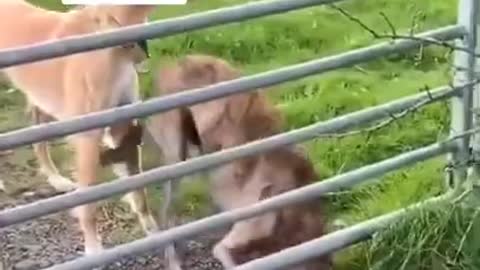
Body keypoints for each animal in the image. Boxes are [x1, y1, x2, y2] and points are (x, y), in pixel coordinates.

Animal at [0, 0, 158, 255]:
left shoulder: (125, 128)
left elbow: (139, 190)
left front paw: (154, 232)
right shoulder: (88, 138)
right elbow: (88, 203)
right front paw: (93, 249)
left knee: (39, 142)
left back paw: (56, 179)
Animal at [148, 53, 332, 268]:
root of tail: (178, 62)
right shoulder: (245, 231)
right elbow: (226, 253)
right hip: (176, 158)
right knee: (167, 213)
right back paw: (173, 258)